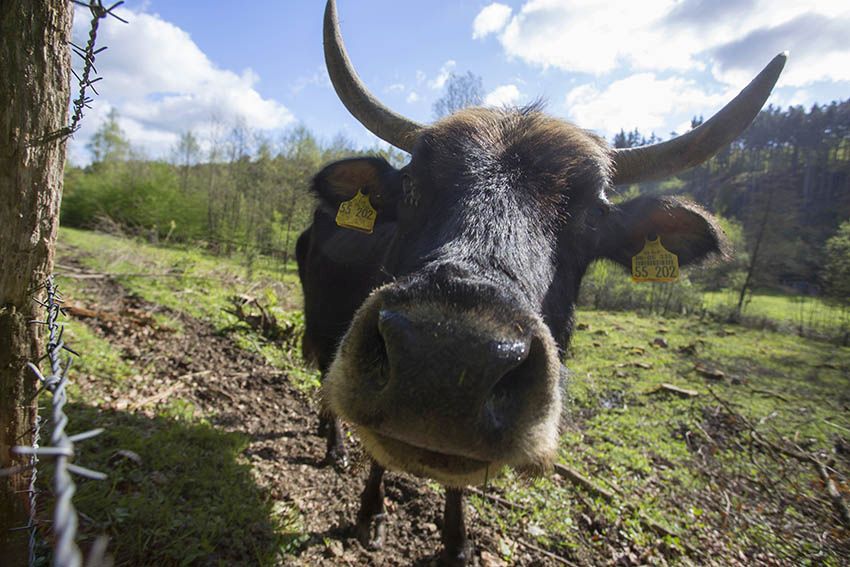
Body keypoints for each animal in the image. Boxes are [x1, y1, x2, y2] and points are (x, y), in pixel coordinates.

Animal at [294, 2, 784, 564]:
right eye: (412, 186)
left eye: (593, 216)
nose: (445, 360)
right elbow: (378, 444)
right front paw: (371, 514)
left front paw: (457, 543)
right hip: (321, 320)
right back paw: (334, 445)